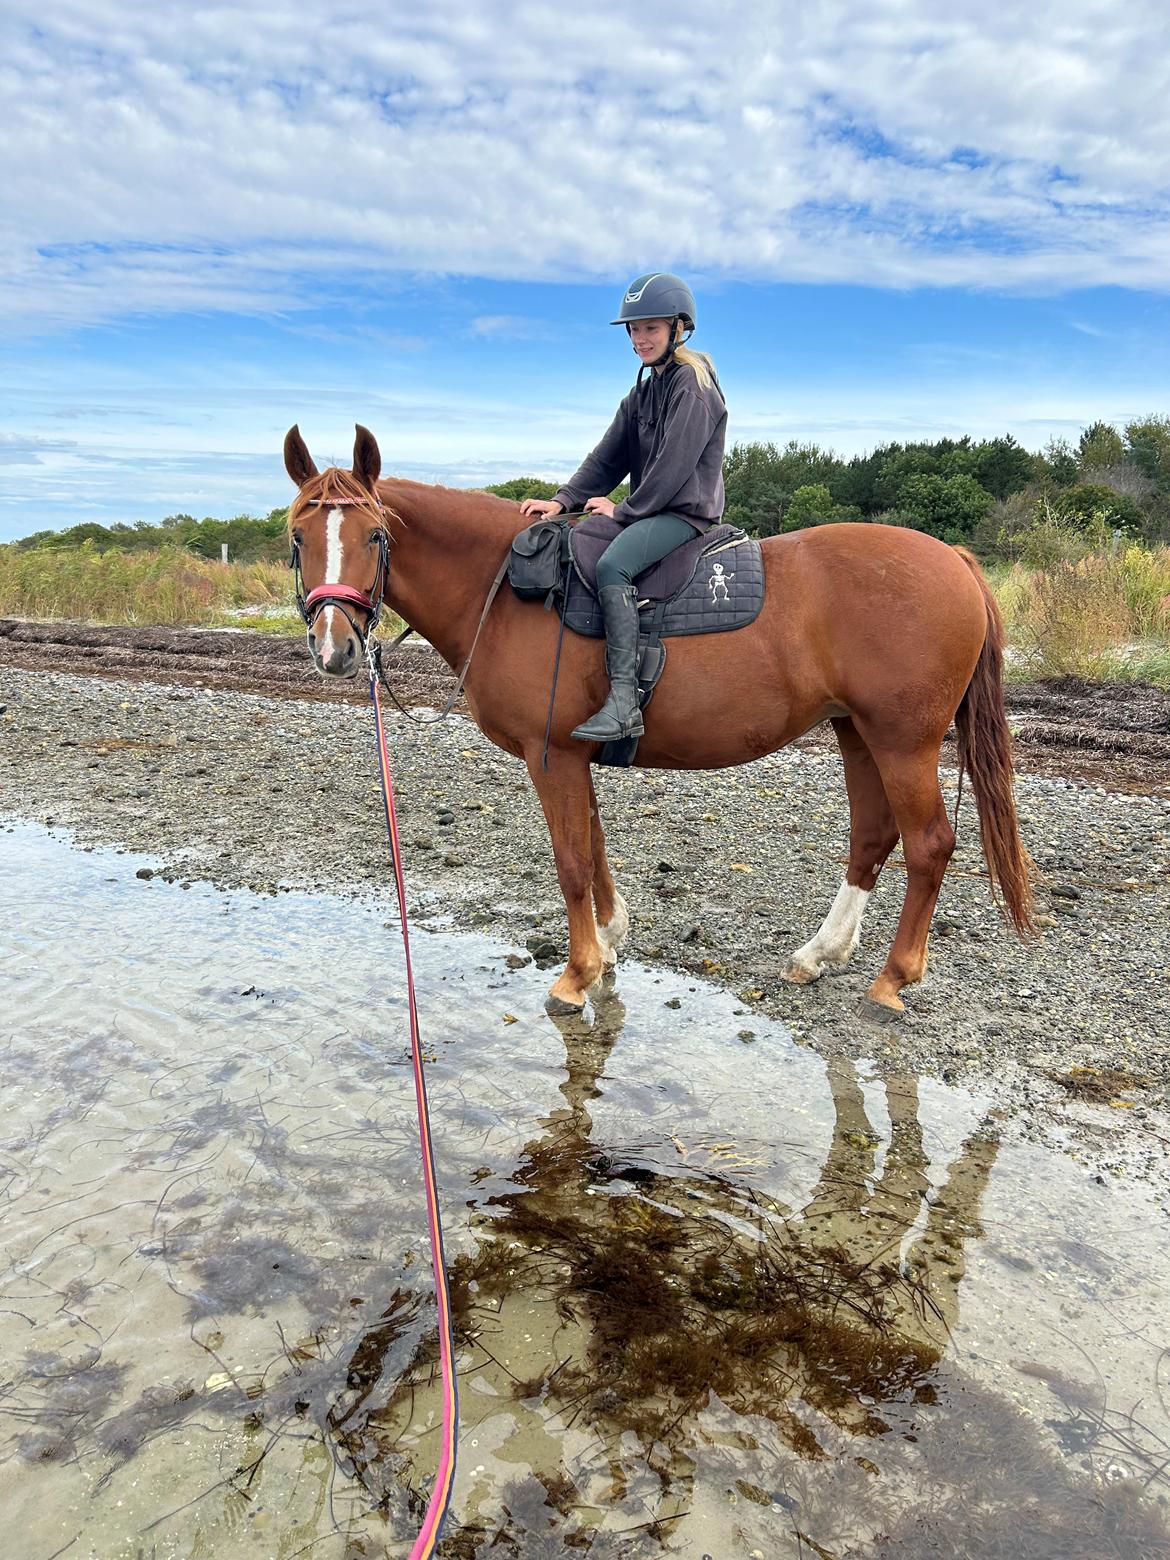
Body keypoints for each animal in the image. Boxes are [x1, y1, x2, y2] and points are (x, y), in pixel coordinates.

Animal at [283, 421, 1035, 1017]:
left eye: (374, 535)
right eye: (297, 536)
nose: (333, 646)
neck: (506, 588)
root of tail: (953, 561)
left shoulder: (551, 755)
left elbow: (571, 860)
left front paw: (577, 973)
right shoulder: (572, 755)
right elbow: (594, 846)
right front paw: (610, 942)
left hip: (904, 741)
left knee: (930, 845)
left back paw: (892, 980)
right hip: (858, 732)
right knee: (874, 837)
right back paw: (820, 953)